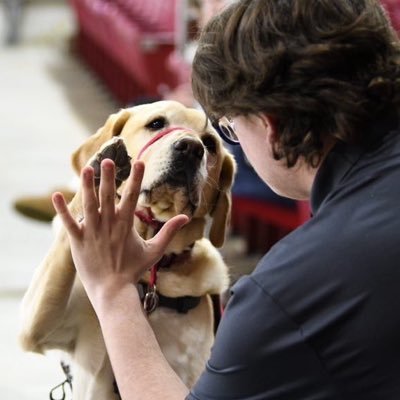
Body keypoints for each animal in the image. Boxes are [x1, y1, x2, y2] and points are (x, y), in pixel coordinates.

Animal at [18, 101, 236, 400]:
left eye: (210, 144)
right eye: (156, 123)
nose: (191, 148)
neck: (149, 284)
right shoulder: (37, 327)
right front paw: (99, 172)